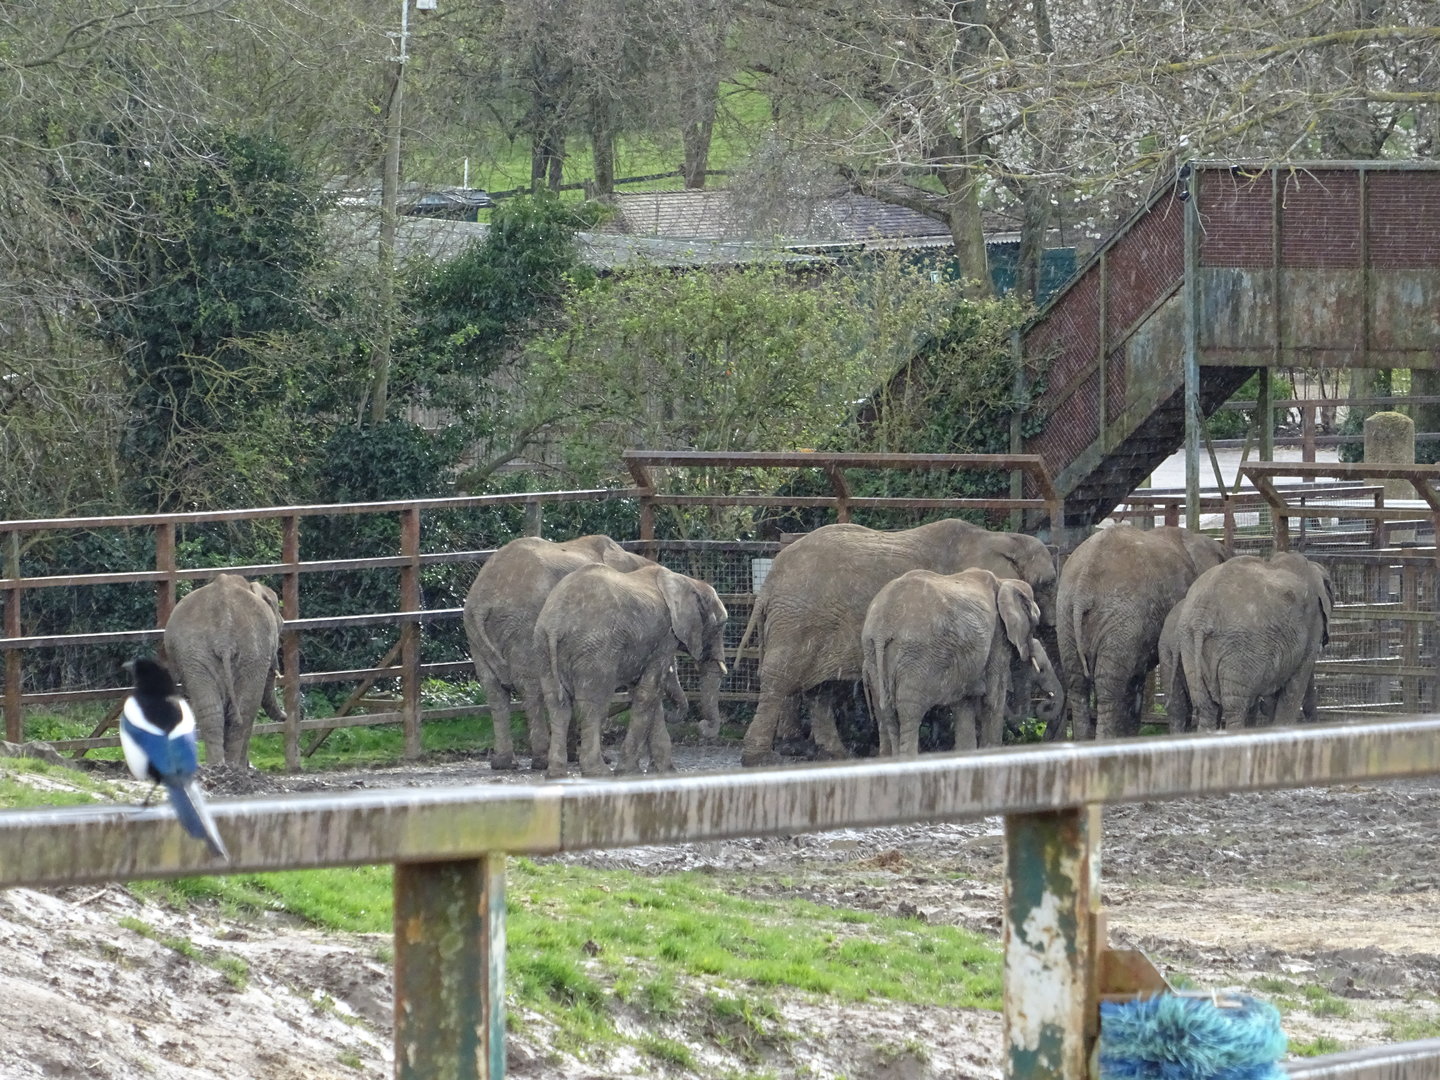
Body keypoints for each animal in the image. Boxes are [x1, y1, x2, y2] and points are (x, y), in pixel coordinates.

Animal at [163, 572, 286, 768]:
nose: (285, 716)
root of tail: (224, 637)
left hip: (195, 654)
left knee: (211, 711)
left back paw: (217, 767)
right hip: (253, 654)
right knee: (245, 710)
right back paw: (235, 767)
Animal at [463, 534, 672, 770]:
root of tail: (482, 602)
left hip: (476, 635)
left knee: (494, 690)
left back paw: (503, 763)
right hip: (521, 626)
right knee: (530, 688)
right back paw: (540, 760)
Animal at [535, 562, 728, 779]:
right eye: (720, 625)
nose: (702, 725)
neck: (687, 581)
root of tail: (555, 625)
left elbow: (648, 694)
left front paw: (664, 771)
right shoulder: (666, 636)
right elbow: (648, 692)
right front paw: (627, 771)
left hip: (543, 647)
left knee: (557, 705)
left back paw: (556, 774)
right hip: (595, 651)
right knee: (592, 705)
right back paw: (599, 772)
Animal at [862, 569, 1060, 758]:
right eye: (1035, 622)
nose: (1045, 703)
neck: (1005, 581)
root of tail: (881, 630)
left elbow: (963, 704)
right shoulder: (998, 635)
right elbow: (993, 699)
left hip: (873, 658)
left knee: (886, 714)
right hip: (914, 657)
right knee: (909, 712)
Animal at [1167, 551, 1333, 731]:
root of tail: (1203, 615)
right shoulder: (1312, 622)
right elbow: (1296, 684)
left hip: (1188, 643)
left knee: (1206, 707)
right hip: (1238, 648)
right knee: (1234, 706)